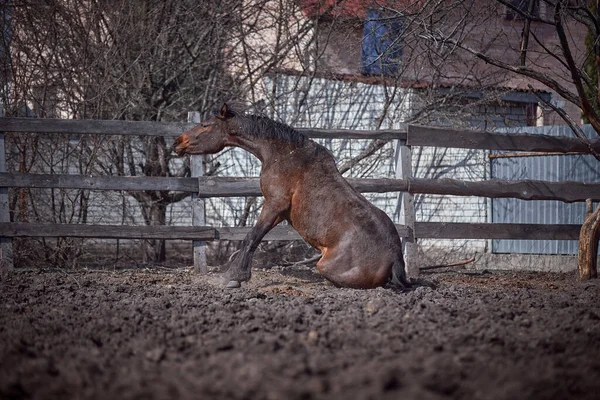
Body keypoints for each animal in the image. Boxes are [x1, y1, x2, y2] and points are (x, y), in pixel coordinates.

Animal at [172, 103, 408, 290]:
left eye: (205, 125)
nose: (177, 142)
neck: (284, 155)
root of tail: (395, 259)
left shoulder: (274, 203)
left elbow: (252, 237)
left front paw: (232, 278)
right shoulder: (280, 212)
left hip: (324, 265)